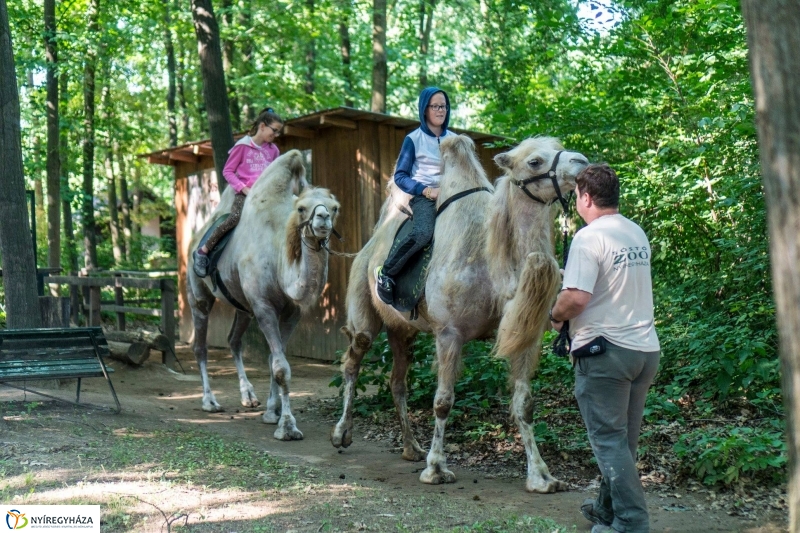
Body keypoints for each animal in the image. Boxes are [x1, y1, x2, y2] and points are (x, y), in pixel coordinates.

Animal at [188, 148, 340, 438]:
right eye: (301, 208)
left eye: (335, 207)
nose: (323, 218)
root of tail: (196, 237)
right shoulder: (264, 306)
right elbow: (280, 367)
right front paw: (287, 426)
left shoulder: (292, 312)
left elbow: (274, 360)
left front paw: (272, 411)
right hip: (198, 295)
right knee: (200, 346)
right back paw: (209, 401)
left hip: (242, 306)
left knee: (234, 340)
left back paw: (248, 396)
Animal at [330, 134, 588, 490]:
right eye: (534, 161)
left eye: (558, 149)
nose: (582, 161)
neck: (494, 270)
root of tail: (371, 244)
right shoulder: (449, 333)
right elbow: (443, 402)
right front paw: (436, 468)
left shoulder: (524, 334)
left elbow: (524, 404)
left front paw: (542, 476)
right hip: (363, 309)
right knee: (354, 360)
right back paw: (342, 434)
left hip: (403, 330)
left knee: (398, 381)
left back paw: (411, 447)